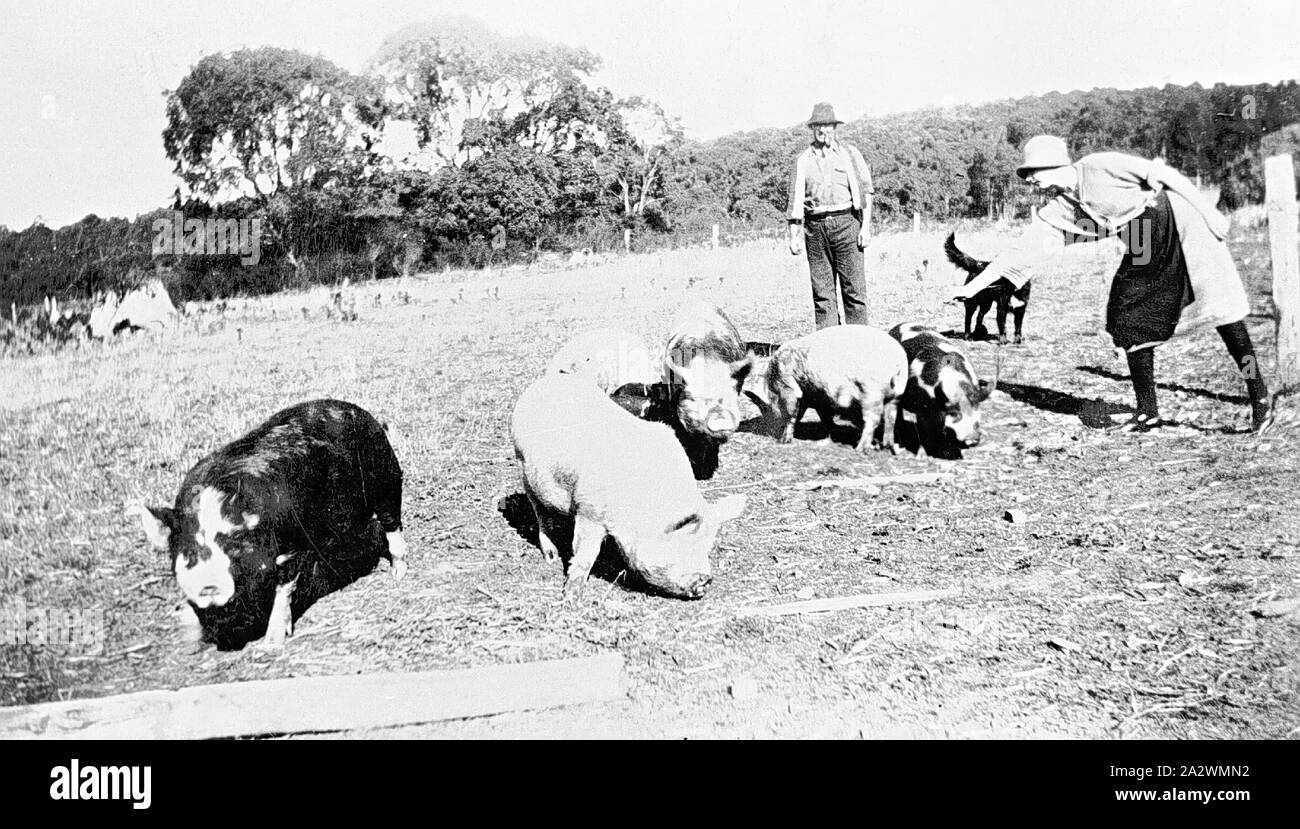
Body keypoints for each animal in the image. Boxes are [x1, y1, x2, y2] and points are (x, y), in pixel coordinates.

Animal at [137, 397, 405, 649]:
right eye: (186, 551)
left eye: (234, 546)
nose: (208, 584)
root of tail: (360, 412)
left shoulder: (291, 546)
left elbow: (283, 590)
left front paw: (272, 642)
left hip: (386, 479)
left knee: (392, 525)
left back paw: (398, 572)